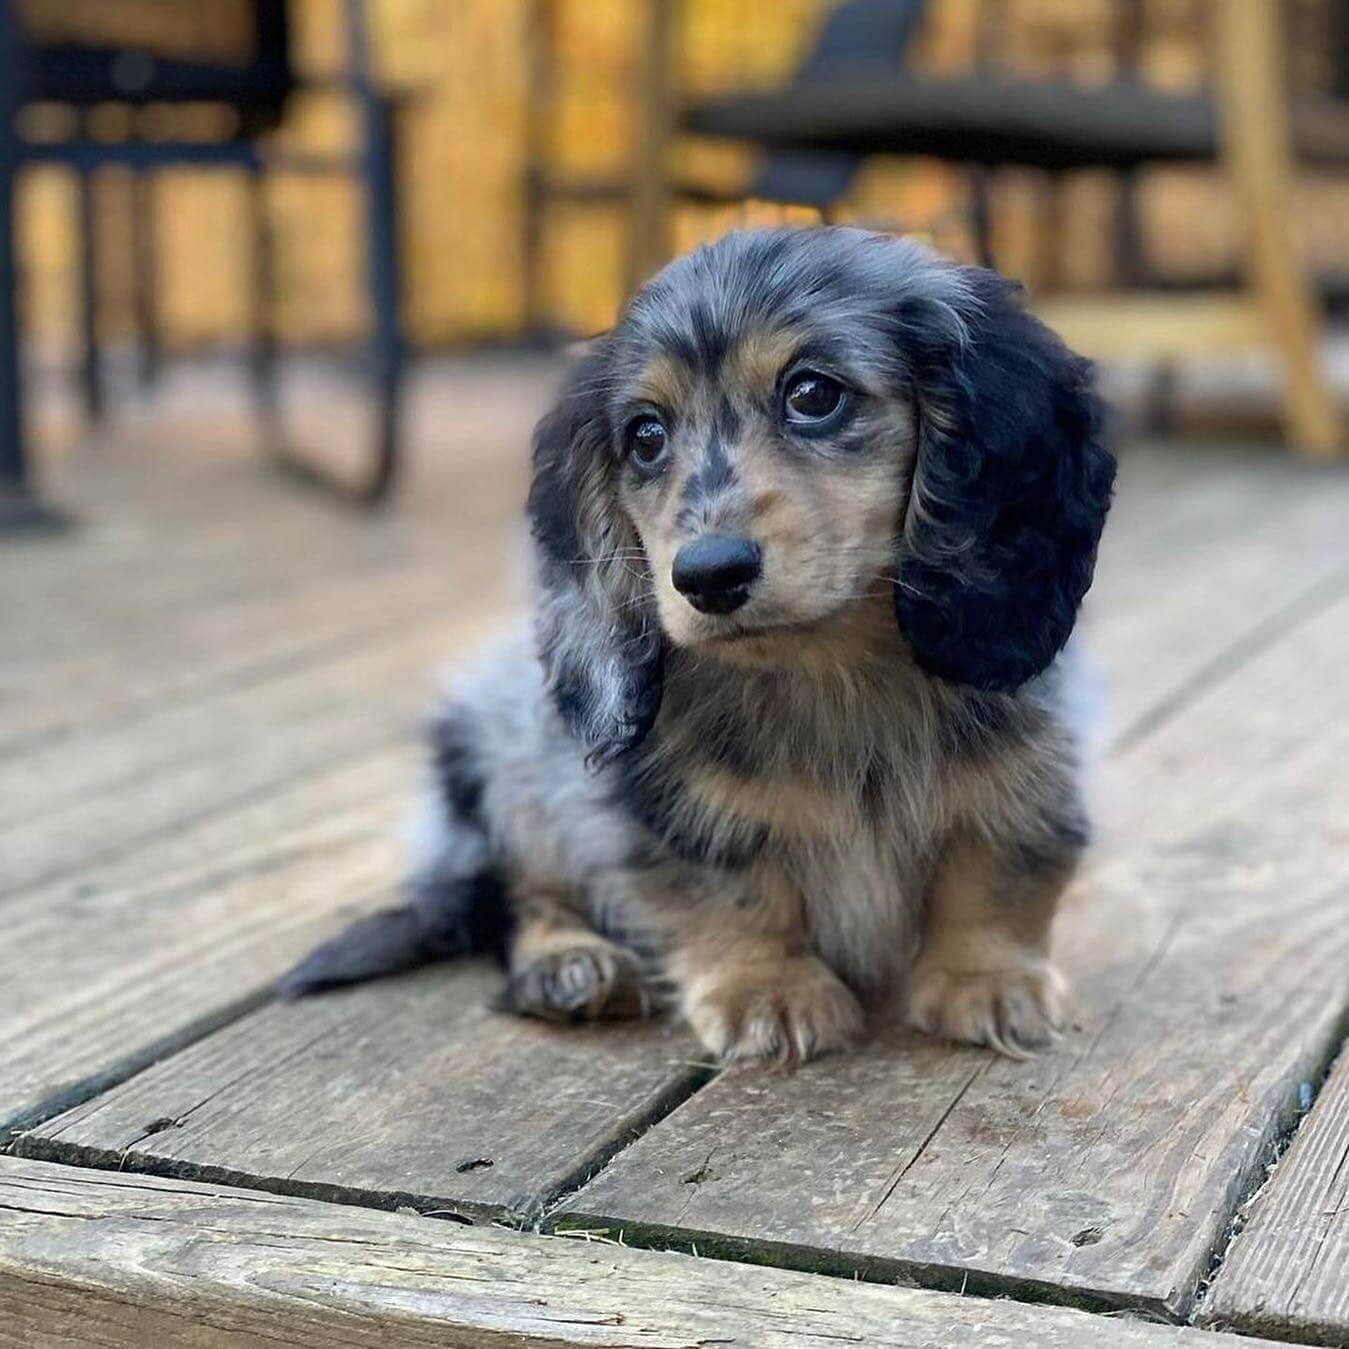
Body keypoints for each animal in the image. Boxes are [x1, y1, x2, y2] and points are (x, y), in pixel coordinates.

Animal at [279, 229, 1111, 1063]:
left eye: (813, 394)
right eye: (645, 436)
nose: (708, 576)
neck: (832, 673)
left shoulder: (1028, 775)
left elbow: (991, 872)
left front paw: (988, 979)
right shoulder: (672, 811)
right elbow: (736, 890)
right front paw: (769, 989)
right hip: (504, 772)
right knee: (514, 895)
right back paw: (569, 963)